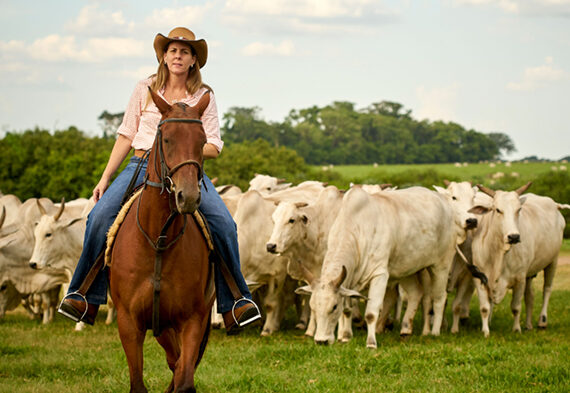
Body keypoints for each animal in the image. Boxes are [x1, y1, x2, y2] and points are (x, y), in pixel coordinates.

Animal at [107, 89, 212, 392]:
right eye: (166, 139)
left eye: (202, 142)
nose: (188, 197)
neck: (158, 239)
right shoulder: (129, 323)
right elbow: (138, 383)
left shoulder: (192, 319)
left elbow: (185, 380)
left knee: (177, 363)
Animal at [292, 185, 458, 348]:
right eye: (312, 306)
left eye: (334, 306)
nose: (321, 341)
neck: (357, 230)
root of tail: (443, 201)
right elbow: (347, 310)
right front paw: (345, 337)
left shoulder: (380, 274)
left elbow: (371, 314)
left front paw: (371, 343)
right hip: (407, 269)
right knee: (416, 293)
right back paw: (405, 330)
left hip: (441, 265)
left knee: (439, 297)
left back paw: (434, 332)